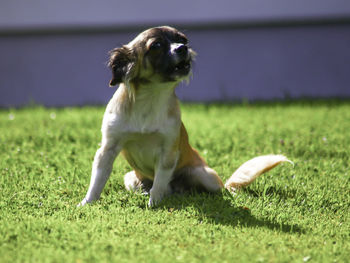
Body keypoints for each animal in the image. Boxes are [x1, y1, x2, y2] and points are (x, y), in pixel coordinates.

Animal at [78, 26, 292, 208]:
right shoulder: (107, 150)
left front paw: (154, 204)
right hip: (130, 178)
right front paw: (87, 203)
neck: (150, 99)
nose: (183, 48)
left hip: (204, 175)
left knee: (219, 189)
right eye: (156, 46)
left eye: (184, 40)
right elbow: (97, 181)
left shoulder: (168, 153)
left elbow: (159, 184)